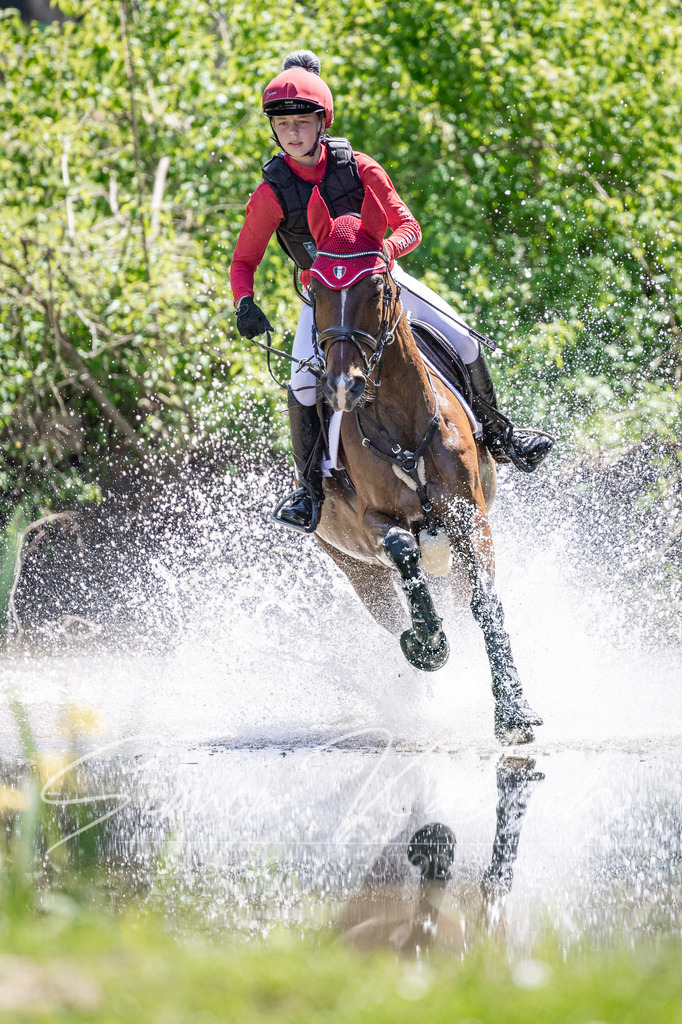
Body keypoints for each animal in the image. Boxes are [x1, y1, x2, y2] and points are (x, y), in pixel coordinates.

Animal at [302, 185, 542, 746]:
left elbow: (485, 602)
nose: (342, 386)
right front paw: (429, 645)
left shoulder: (469, 516)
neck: (403, 422)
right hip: (353, 567)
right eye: (315, 288)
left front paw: (514, 712)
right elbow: (402, 550)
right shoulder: (373, 522)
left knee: (454, 597)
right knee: (393, 614)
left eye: (376, 287)